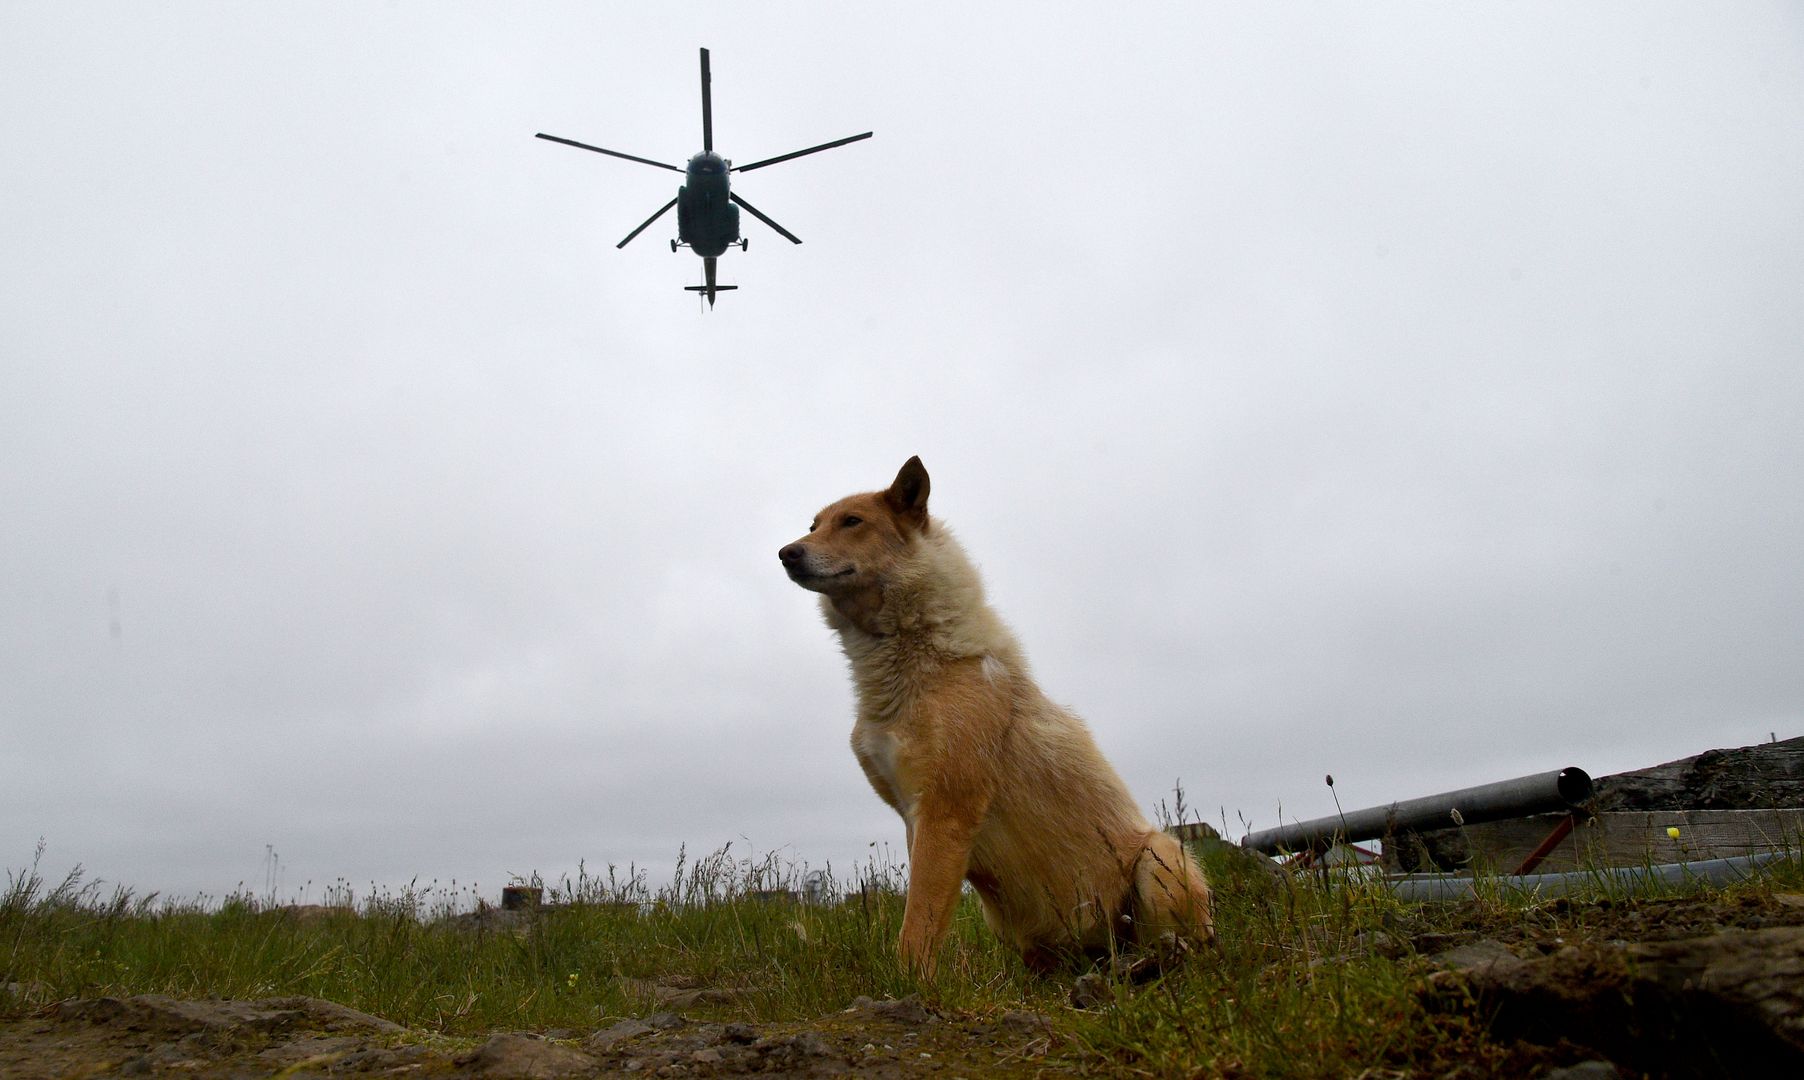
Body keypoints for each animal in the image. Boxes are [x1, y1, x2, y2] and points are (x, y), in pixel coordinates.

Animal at [775, 456, 1212, 980]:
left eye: (852, 522)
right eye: (813, 526)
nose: (786, 554)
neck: (911, 656)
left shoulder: (946, 812)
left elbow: (917, 924)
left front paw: (908, 983)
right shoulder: (917, 817)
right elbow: (923, 914)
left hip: (1161, 854)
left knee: (1187, 949)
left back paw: (1147, 964)